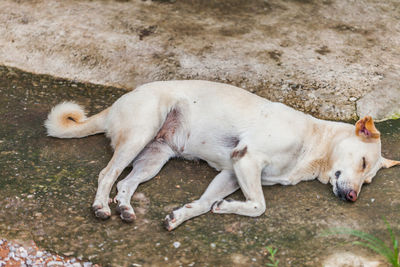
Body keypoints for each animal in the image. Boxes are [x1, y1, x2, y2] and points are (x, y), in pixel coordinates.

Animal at [45, 80, 398, 231]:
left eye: (367, 181)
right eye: (362, 163)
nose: (353, 197)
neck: (313, 143)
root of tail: (114, 106)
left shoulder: (231, 172)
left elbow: (204, 203)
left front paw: (182, 215)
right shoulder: (246, 159)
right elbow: (258, 206)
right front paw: (227, 207)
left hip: (153, 159)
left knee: (125, 184)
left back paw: (126, 208)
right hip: (140, 134)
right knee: (107, 175)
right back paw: (102, 207)